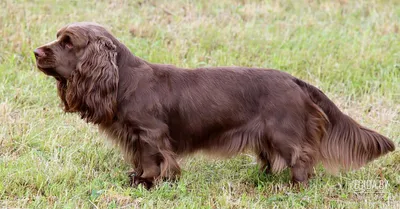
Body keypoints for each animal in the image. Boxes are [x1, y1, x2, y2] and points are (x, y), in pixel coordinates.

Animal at [33, 22, 394, 189]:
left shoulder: (150, 133)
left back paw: (293, 187)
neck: (124, 80)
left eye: (68, 42)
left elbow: (152, 159)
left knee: (301, 158)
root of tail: (295, 80)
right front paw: (137, 178)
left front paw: (148, 182)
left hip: (284, 132)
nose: (36, 51)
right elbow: (138, 158)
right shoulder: (133, 135)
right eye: (58, 38)